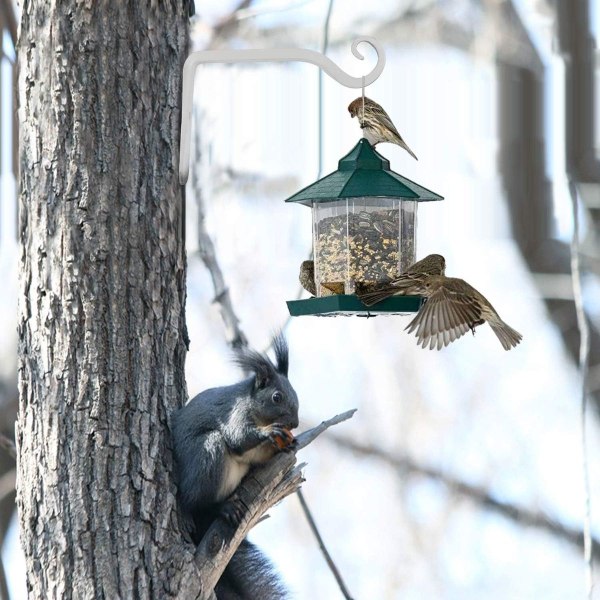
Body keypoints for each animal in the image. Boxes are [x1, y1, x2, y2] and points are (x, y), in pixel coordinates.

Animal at [171, 336, 298, 596]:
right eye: (277, 397)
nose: (296, 423)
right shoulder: (234, 414)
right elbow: (238, 438)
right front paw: (269, 433)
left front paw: (288, 444)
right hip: (207, 455)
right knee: (195, 500)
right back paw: (217, 508)